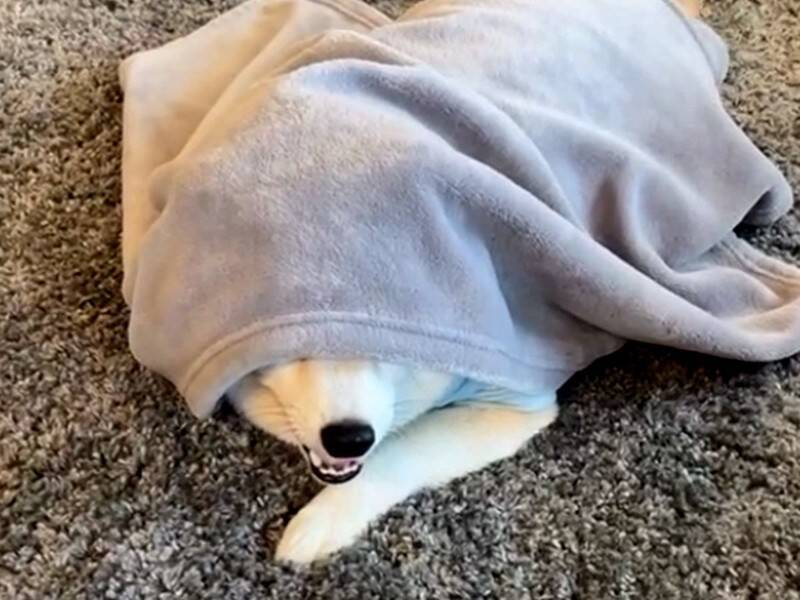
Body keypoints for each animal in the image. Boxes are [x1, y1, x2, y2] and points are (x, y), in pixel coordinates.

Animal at [228, 0, 704, 565]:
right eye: (298, 345)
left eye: (389, 344)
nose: (349, 439)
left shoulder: (512, 399)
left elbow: (401, 451)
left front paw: (323, 520)